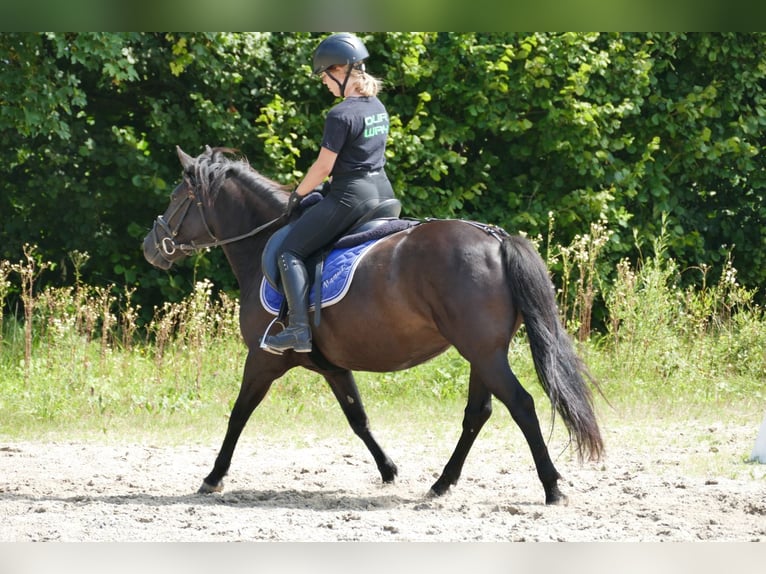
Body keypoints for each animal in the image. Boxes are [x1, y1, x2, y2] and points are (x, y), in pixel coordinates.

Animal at [141, 146, 604, 506]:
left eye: (176, 196)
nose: (150, 247)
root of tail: (495, 237)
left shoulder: (262, 358)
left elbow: (238, 414)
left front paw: (213, 477)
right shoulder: (330, 365)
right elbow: (357, 417)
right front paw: (388, 470)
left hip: (485, 354)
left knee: (521, 406)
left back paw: (551, 487)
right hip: (482, 354)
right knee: (479, 412)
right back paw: (441, 484)